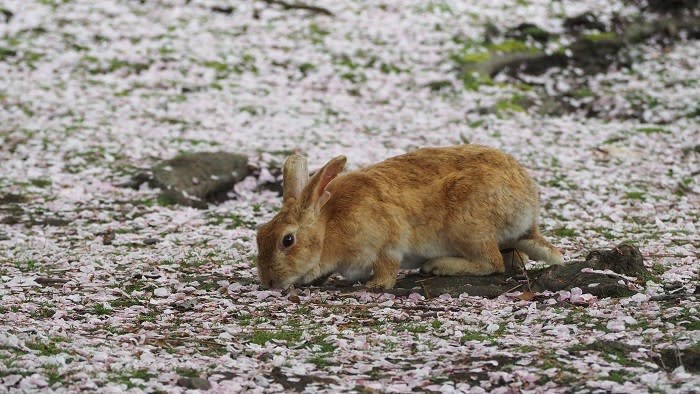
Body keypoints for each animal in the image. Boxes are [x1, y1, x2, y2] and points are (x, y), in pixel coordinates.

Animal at [256, 145, 564, 290]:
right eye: (259, 234)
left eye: (287, 240)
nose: (268, 282)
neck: (327, 227)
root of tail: (529, 207)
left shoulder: (386, 242)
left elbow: (387, 267)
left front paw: (375, 285)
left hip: (468, 227)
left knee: (493, 263)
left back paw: (437, 266)